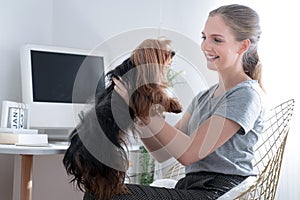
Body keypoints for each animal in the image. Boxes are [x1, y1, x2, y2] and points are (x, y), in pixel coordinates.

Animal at [62, 39, 182, 200]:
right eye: (161, 49)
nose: (173, 52)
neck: (135, 66)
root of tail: (76, 151)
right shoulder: (140, 96)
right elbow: (156, 93)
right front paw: (174, 104)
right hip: (109, 158)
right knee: (107, 181)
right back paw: (118, 189)